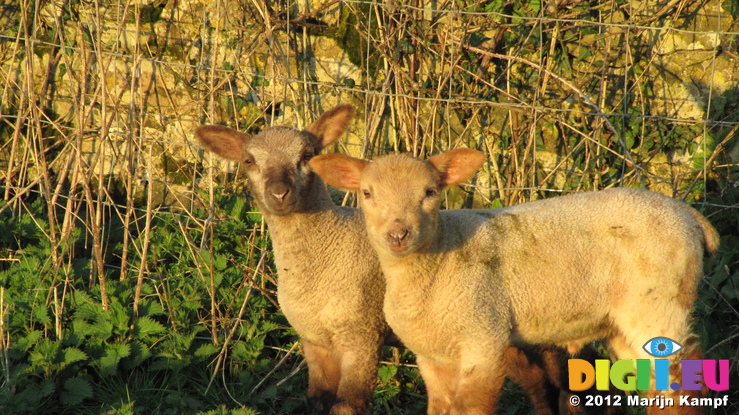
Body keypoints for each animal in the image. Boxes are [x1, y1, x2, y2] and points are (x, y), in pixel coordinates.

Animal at [194, 106, 616, 412]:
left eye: (307, 156)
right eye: (249, 161)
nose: (279, 193)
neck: (323, 252)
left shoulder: (361, 333)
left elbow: (348, 405)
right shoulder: (313, 340)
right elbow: (318, 403)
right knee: (552, 386)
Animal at [310, 150, 720, 415]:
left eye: (429, 192)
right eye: (367, 193)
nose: (398, 235)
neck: (436, 264)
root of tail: (689, 214)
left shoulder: (483, 339)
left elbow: (471, 408)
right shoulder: (432, 355)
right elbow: (441, 408)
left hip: (657, 300)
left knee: (682, 378)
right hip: (622, 319)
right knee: (655, 383)